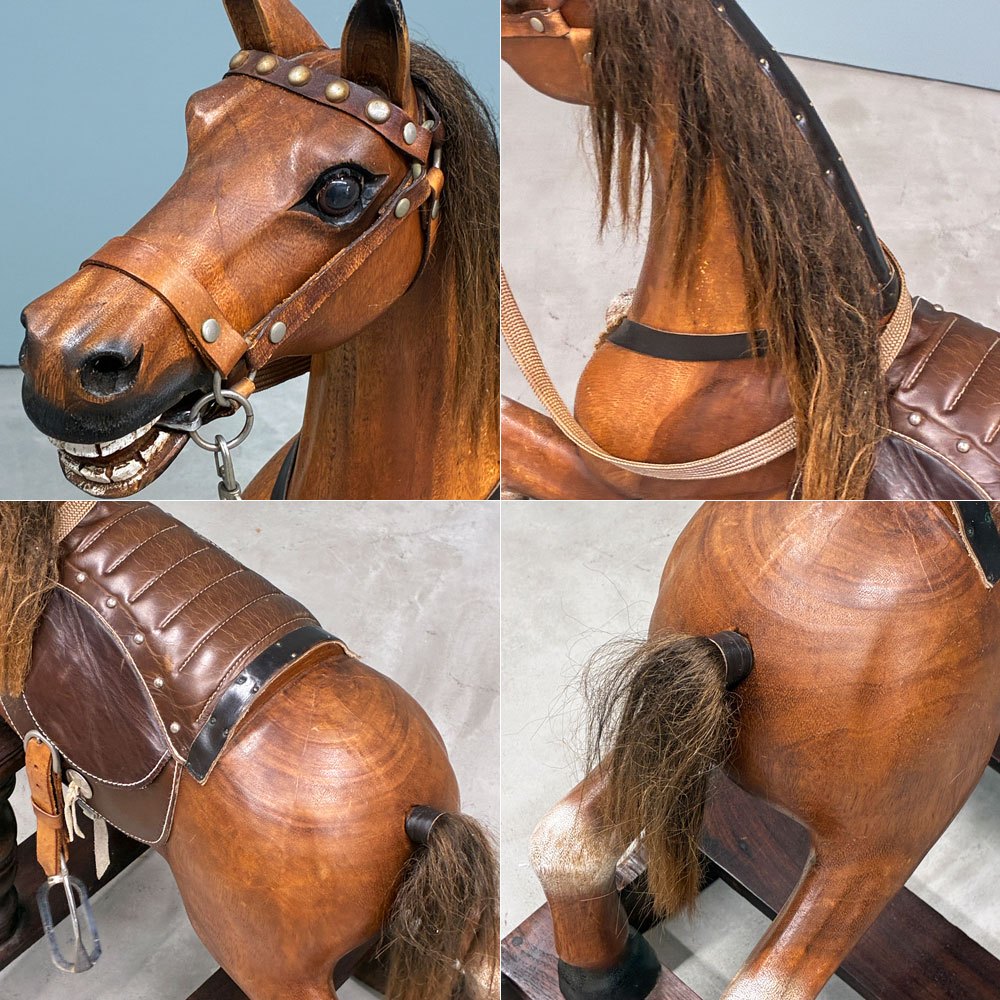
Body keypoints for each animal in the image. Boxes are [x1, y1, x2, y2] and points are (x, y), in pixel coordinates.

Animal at [526, 500, 1000, 999]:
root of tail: (733, 644)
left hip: (663, 739)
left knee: (563, 838)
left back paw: (609, 976)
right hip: (887, 835)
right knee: (769, 982)